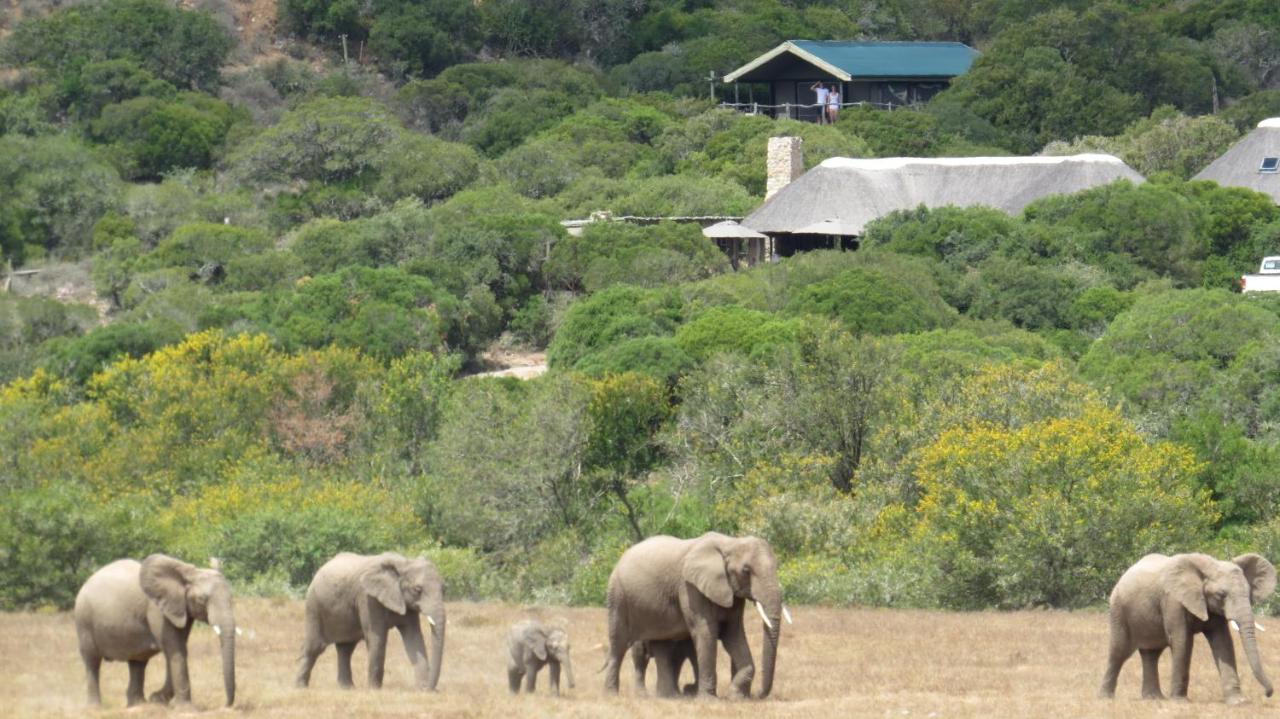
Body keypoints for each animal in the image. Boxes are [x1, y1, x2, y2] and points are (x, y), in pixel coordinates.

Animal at [72, 555, 239, 706]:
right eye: (202, 600)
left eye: (231, 597)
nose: (226, 705)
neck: (186, 575)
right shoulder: (157, 610)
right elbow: (175, 648)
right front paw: (185, 708)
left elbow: (178, 648)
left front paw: (157, 699)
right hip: (83, 620)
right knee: (92, 660)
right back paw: (95, 708)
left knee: (138, 662)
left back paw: (138, 704)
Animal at [293, 547, 445, 690]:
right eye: (417, 589)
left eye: (443, 588)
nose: (430, 688)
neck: (404, 563)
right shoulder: (367, 598)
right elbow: (377, 638)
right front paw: (374, 689)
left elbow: (414, 637)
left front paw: (422, 689)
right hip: (314, 606)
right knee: (315, 647)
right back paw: (300, 686)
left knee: (346, 649)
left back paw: (347, 688)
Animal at [601, 529, 788, 695]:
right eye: (746, 571)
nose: (759, 694)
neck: (730, 542)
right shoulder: (690, 588)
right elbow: (705, 633)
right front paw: (708, 698)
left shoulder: (731, 593)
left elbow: (733, 634)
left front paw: (736, 696)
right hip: (617, 595)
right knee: (620, 644)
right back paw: (614, 695)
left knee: (662, 645)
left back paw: (669, 696)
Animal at [1095, 555, 1274, 701]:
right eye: (1221, 595)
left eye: (1249, 593)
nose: (1268, 693)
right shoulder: (1173, 601)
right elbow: (1183, 641)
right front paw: (1179, 701)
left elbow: (1223, 642)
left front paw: (1239, 701)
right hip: (1118, 610)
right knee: (1119, 652)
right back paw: (1105, 698)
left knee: (1151, 653)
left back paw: (1154, 698)